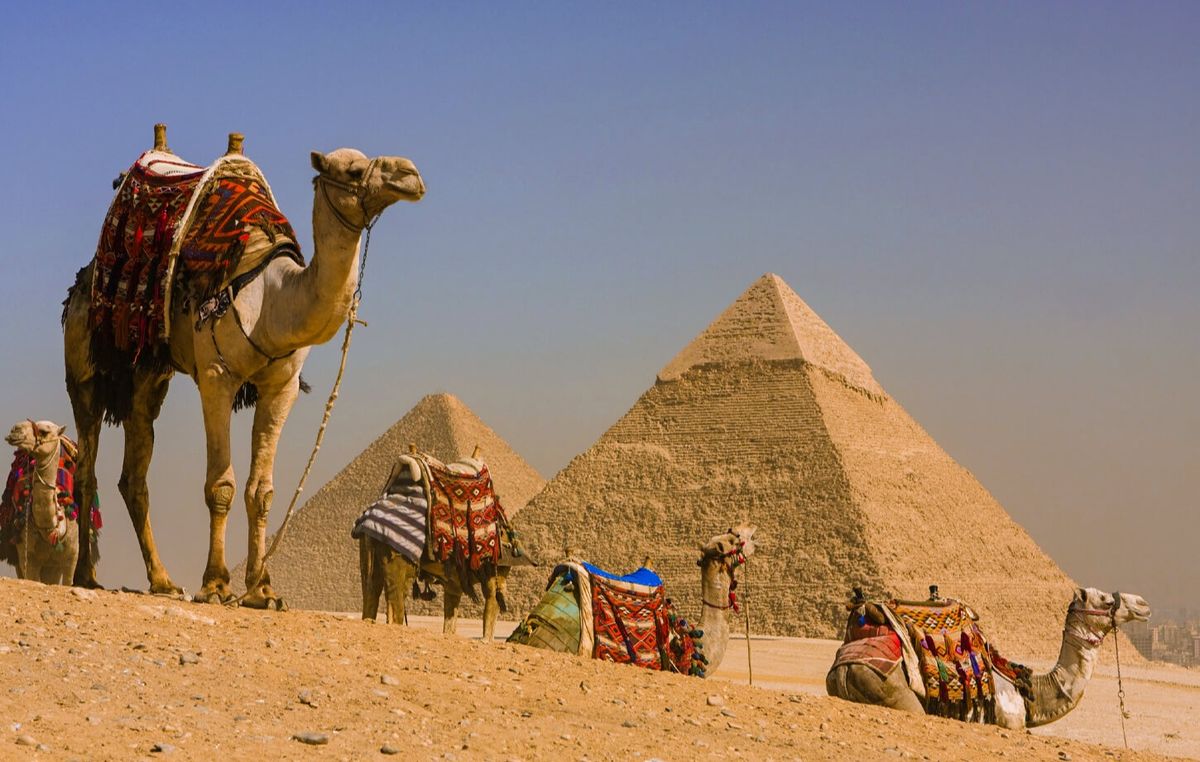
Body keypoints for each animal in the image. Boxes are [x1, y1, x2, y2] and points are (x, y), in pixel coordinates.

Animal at [3, 420, 78, 584]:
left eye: (44, 431)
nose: (15, 430)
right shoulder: (28, 557)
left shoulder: (72, 555)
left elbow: (68, 582)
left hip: (53, 566)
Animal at [63, 128, 425, 605]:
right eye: (352, 170)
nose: (412, 174)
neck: (273, 297)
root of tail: (83, 279)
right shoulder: (217, 377)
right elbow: (222, 485)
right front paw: (216, 584)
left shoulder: (281, 385)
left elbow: (262, 491)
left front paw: (262, 589)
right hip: (84, 365)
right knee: (86, 466)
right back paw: (85, 575)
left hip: (148, 376)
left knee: (133, 474)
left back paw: (162, 581)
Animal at [825, 587, 1151, 729]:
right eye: (1105, 601)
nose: (1143, 604)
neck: (1029, 692)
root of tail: (844, 667)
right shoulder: (1011, 724)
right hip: (892, 689)